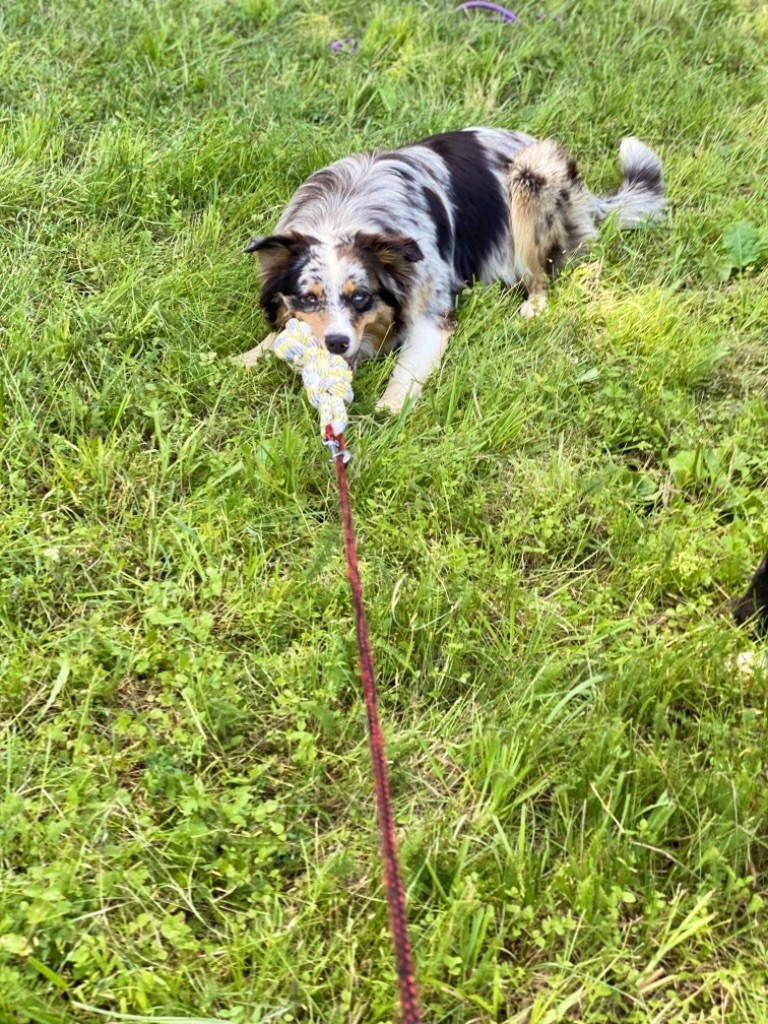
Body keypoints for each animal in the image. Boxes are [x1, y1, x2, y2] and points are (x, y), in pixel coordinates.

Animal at [237, 126, 663, 411]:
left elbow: (407, 369)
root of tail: (590, 198)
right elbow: (275, 339)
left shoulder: (432, 313)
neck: (343, 213)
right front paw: (242, 360)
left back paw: (532, 306)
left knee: (544, 274)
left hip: (531, 177)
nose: (337, 344)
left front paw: (389, 408)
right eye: (308, 299)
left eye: (361, 298)